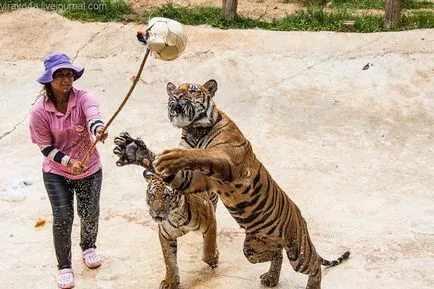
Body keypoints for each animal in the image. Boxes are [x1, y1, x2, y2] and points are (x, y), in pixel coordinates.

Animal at [112, 79, 350, 288]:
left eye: (192, 90)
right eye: (174, 90)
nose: (176, 96)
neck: (193, 130)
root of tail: (300, 216)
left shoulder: (227, 160)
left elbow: (199, 154)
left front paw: (172, 156)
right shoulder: (198, 180)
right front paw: (135, 151)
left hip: (297, 249)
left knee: (314, 265)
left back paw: (311, 285)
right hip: (254, 247)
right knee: (276, 253)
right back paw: (271, 278)